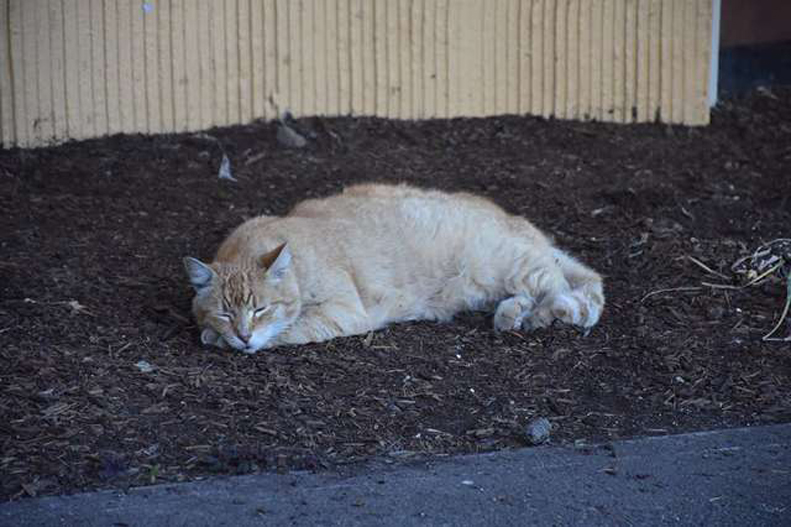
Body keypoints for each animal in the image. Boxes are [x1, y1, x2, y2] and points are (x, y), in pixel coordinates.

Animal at [184, 183, 608, 354]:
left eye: (260, 309)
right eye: (225, 312)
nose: (242, 336)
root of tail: (518, 221)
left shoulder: (345, 312)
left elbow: (290, 330)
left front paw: (225, 340)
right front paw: (217, 334)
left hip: (512, 264)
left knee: (570, 291)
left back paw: (547, 313)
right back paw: (513, 314)